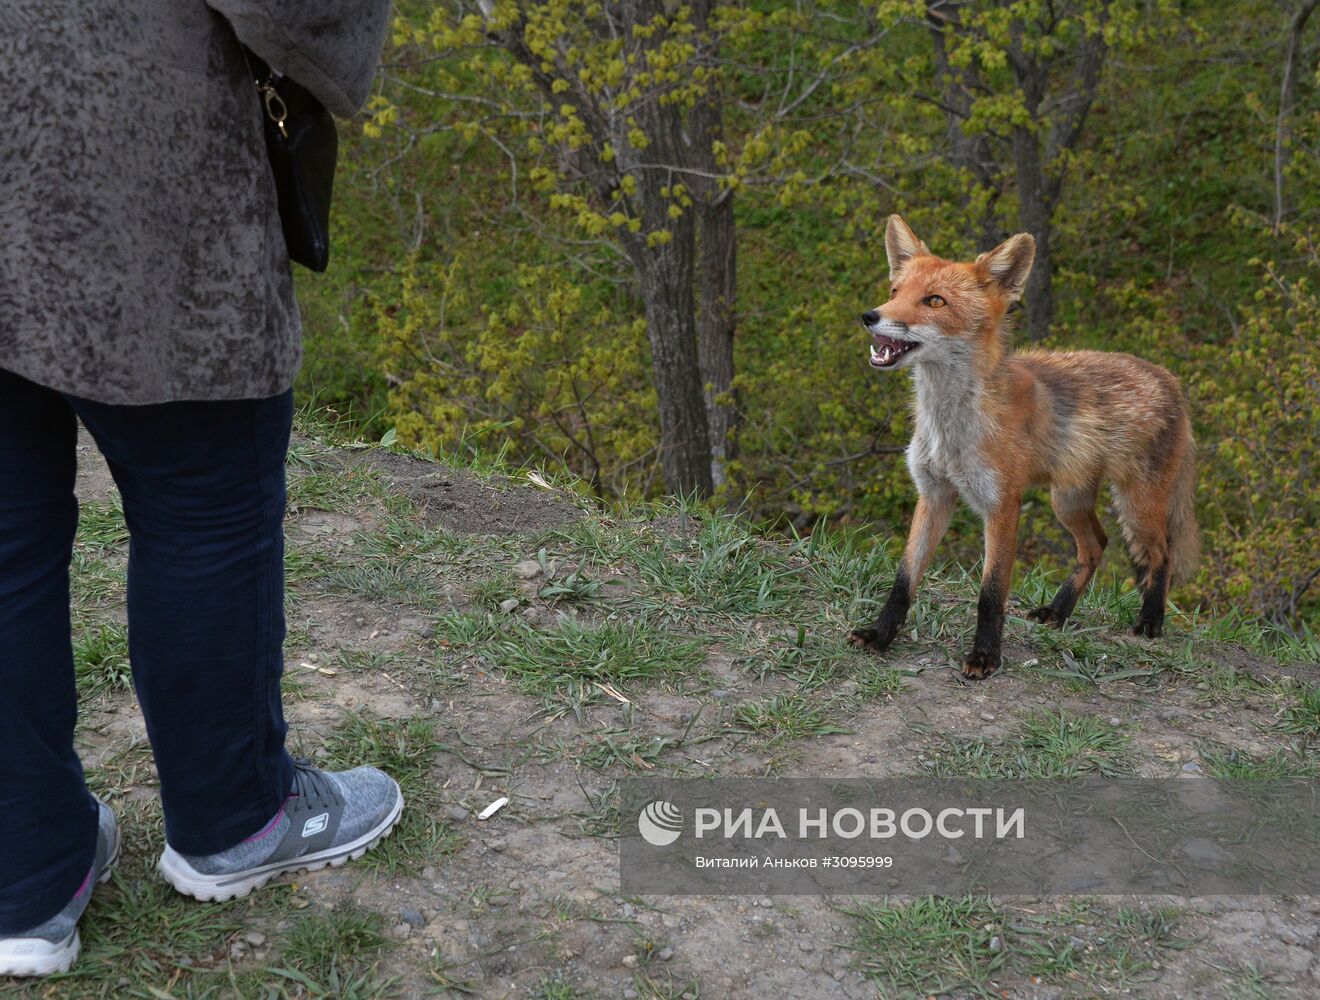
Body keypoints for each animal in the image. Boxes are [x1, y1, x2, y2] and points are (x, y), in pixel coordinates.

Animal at [850, 215, 1203, 675]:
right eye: (895, 292)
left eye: (935, 301)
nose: (870, 316)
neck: (951, 429)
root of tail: (1169, 378)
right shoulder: (934, 494)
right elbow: (903, 580)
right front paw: (880, 635)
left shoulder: (1002, 504)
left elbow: (991, 593)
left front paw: (985, 656)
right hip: (1067, 501)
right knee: (1096, 546)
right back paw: (1058, 612)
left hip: (1137, 506)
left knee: (1161, 555)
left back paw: (1149, 621)